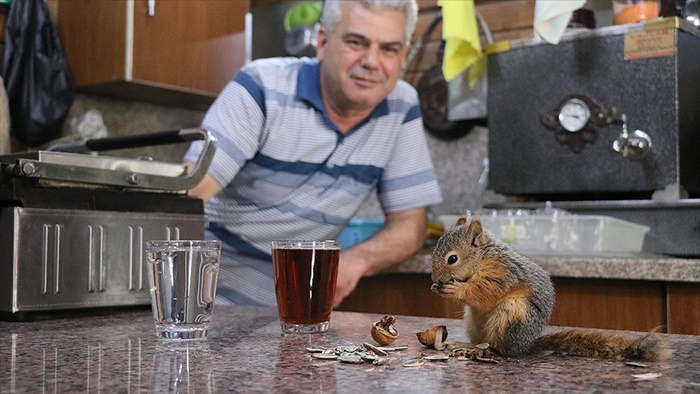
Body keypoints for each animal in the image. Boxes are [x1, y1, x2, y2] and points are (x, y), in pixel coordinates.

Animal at [430, 217, 668, 362]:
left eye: (452, 259)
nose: (434, 278)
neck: (481, 259)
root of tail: (527, 345)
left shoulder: (502, 274)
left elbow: (484, 292)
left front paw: (456, 290)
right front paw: (435, 287)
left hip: (512, 315)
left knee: (502, 348)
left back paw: (483, 350)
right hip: (473, 322)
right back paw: (462, 344)